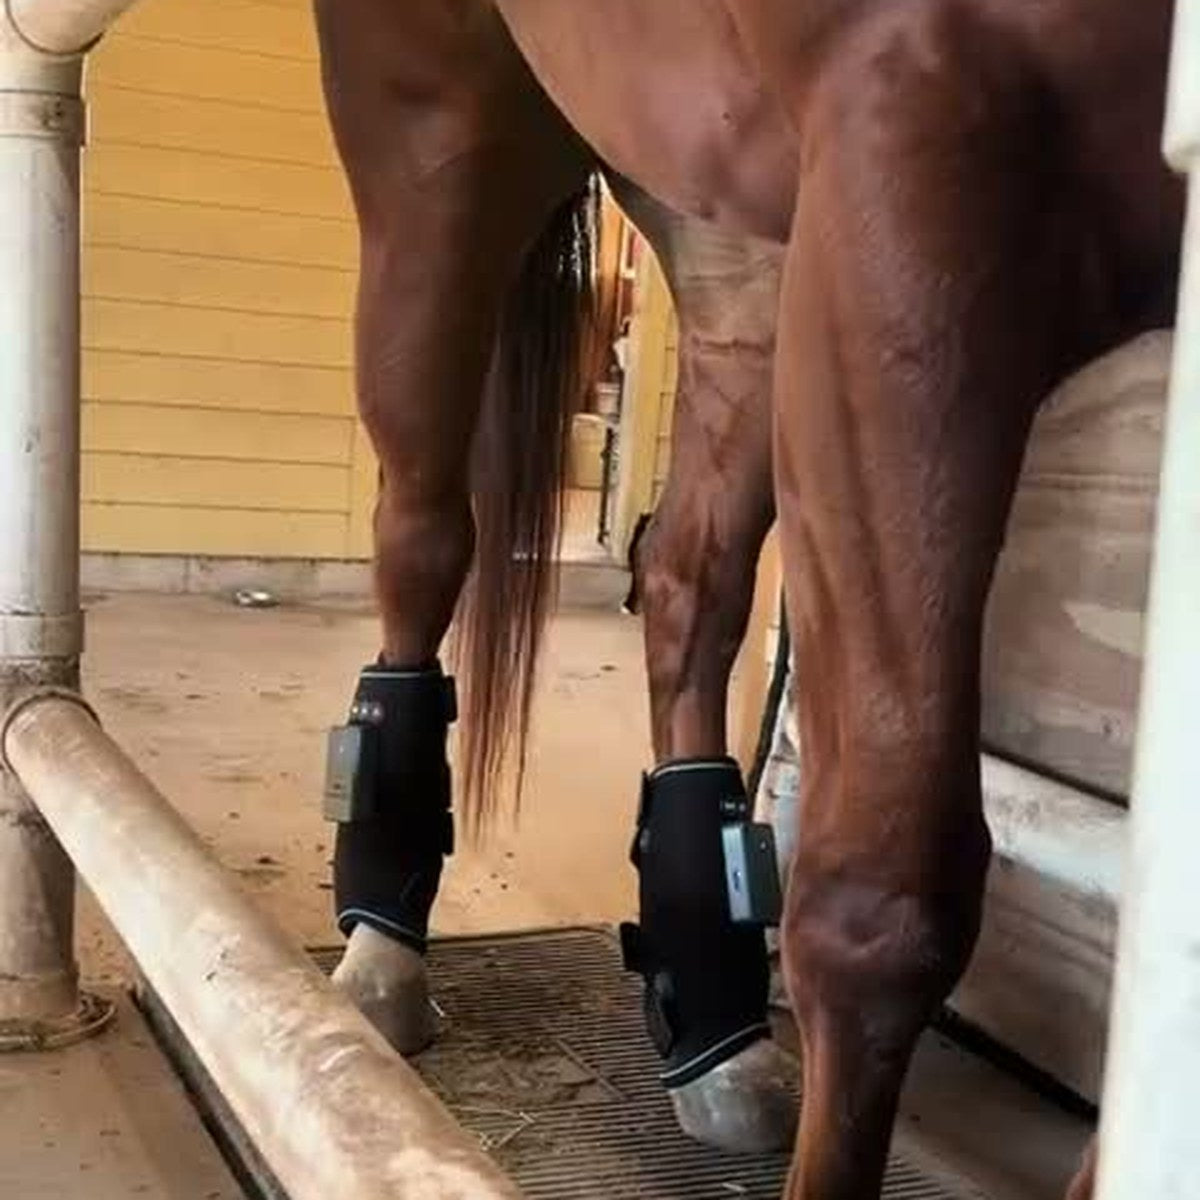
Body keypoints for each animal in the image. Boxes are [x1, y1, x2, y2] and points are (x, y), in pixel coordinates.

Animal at [312, 3, 1184, 1197]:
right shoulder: (912, 168)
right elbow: (883, 903)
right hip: (442, 145)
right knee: (422, 534)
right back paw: (381, 951)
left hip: (738, 243)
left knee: (689, 577)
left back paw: (715, 1031)